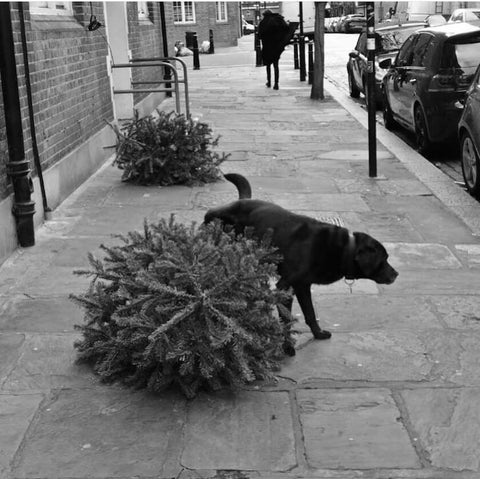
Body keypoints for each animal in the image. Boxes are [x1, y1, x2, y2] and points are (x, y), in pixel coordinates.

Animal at [204, 172, 400, 352]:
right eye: (384, 259)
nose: (396, 274)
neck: (346, 248)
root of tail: (241, 201)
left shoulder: (302, 285)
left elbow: (310, 313)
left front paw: (318, 334)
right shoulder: (285, 286)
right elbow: (286, 319)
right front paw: (288, 347)